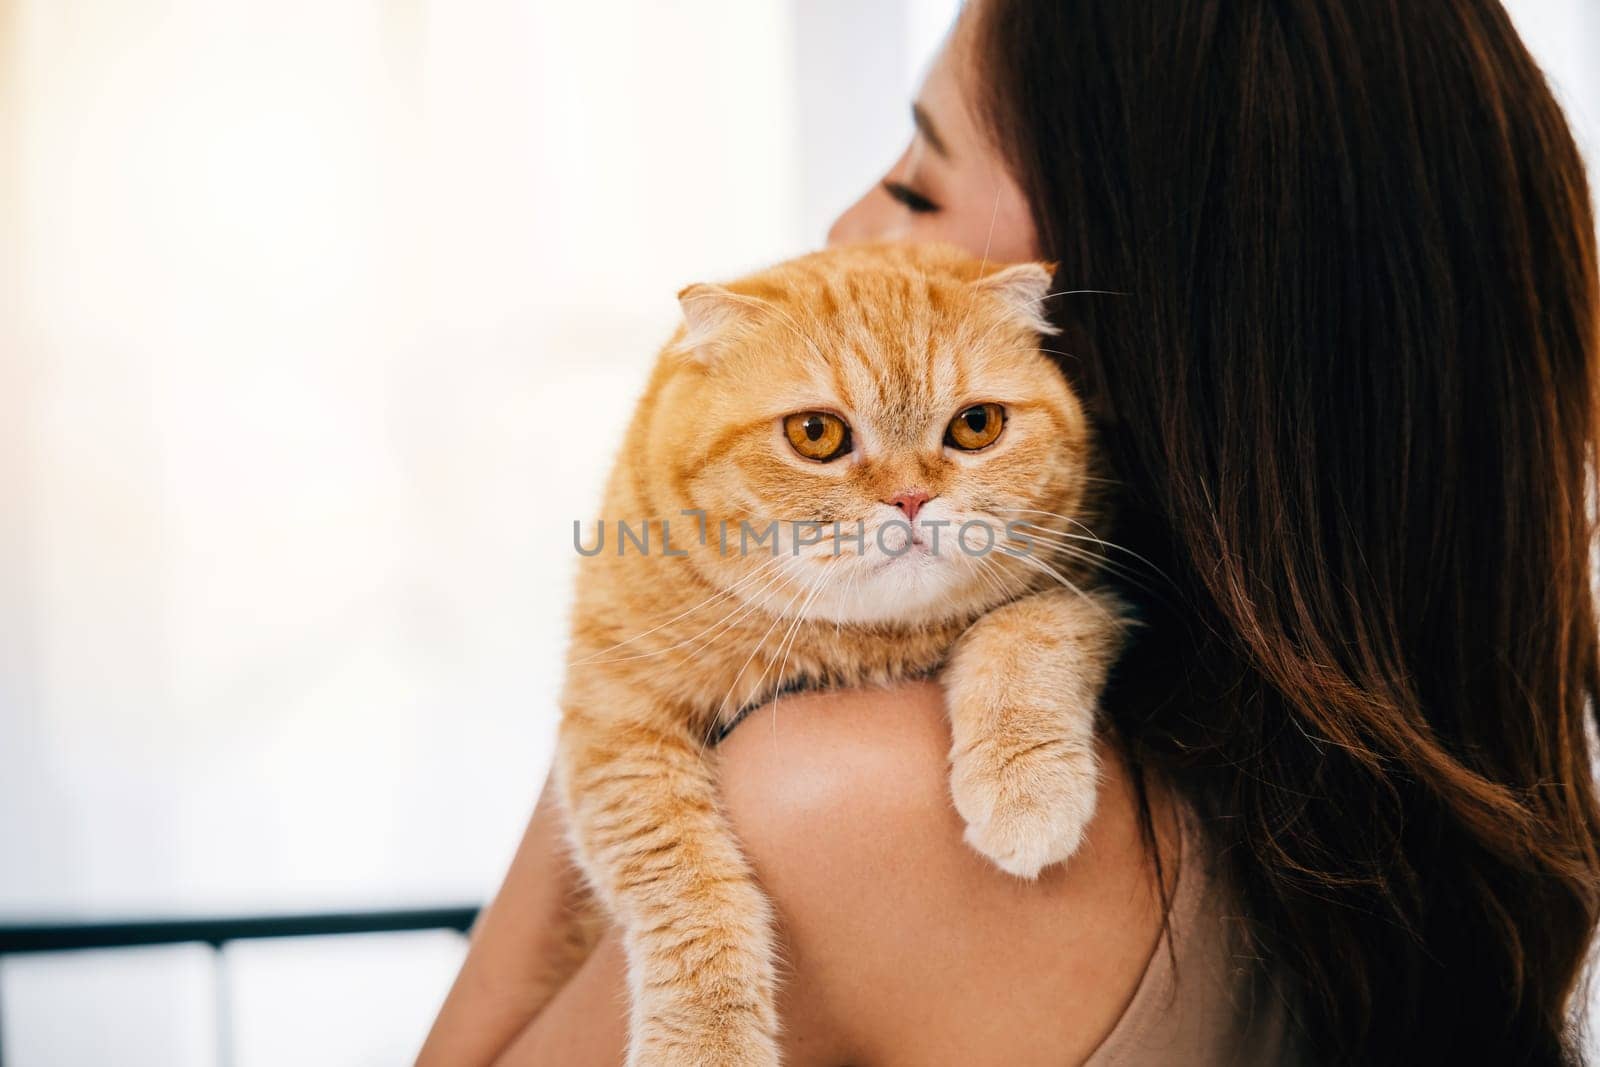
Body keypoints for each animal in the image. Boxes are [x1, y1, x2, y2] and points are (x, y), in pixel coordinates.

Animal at [556, 244, 1132, 1067]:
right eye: (816, 434)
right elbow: (682, 881)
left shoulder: (1091, 591)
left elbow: (1023, 632)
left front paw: (1025, 788)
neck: (857, 643)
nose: (912, 499)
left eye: (977, 425)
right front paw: (705, 1039)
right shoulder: (614, 723)